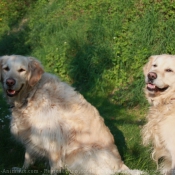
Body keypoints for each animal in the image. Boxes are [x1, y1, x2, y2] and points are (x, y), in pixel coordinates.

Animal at [0, 55, 142, 174]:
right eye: (6, 68)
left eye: (22, 70)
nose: (9, 82)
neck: (30, 95)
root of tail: (121, 164)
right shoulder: (30, 134)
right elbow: (27, 157)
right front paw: (22, 169)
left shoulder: (51, 136)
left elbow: (54, 164)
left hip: (78, 154)